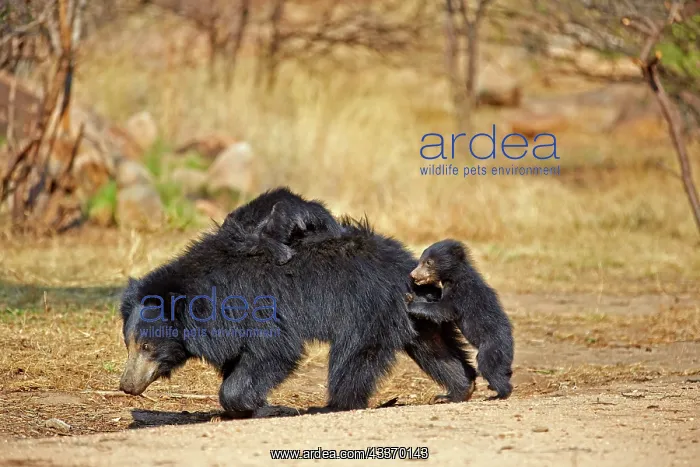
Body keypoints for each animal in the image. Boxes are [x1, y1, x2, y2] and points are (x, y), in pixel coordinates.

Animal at [119, 214, 478, 416]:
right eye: (129, 345)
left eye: (147, 347)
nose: (126, 386)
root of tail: (408, 268)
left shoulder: (253, 308)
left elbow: (274, 351)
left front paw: (269, 407)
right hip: (414, 313)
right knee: (433, 348)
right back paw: (458, 390)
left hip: (366, 309)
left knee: (353, 357)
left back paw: (333, 404)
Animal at [406, 239, 514, 399]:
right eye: (420, 261)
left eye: (428, 262)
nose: (412, 275)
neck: (453, 276)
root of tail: (510, 344)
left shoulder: (460, 293)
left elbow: (443, 310)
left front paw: (409, 302)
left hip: (491, 348)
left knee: (490, 368)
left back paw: (499, 394)